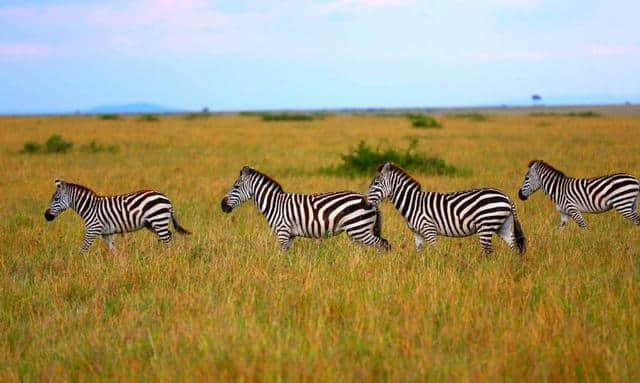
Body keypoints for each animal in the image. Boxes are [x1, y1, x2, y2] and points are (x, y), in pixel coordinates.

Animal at [44, 179, 191, 254]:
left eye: (56, 199)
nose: (46, 216)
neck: (89, 208)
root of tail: (166, 198)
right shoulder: (106, 233)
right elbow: (113, 250)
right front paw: (115, 267)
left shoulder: (93, 229)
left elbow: (83, 249)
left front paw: (79, 265)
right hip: (153, 224)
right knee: (170, 237)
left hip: (158, 220)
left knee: (167, 240)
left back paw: (167, 258)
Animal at [220, 166, 390, 252]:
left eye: (236, 187)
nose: (222, 205)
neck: (273, 204)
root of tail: (370, 200)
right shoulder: (290, 235)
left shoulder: (283, 232)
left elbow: (281, 255)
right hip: (356, 231)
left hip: (359, 228)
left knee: (383, 245)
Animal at [368, 162, 524, 255]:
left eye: (376, 183)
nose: (366, 201)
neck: (412, 203)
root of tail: (506, 196)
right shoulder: (418, 234)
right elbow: (419, 254)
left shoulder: (429, 229)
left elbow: (435, 252)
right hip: (503, 226)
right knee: (515, 248)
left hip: (485, 226)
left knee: (489, 252)